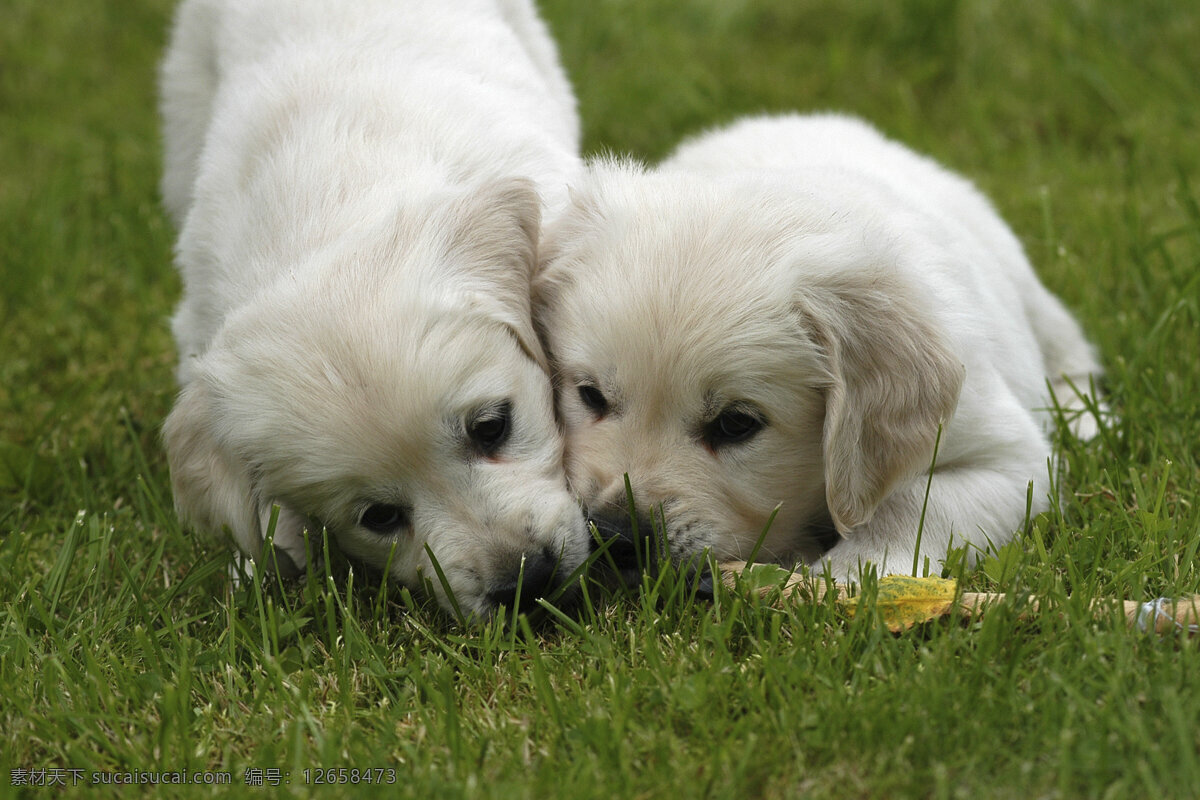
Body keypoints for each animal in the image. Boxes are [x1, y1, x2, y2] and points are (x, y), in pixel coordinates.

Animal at [537, 112, 1104, 578]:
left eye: (736, 424)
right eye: (590, 396)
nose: (613, 537)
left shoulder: (1012, 458)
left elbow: (912, 504)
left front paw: (850, 576)